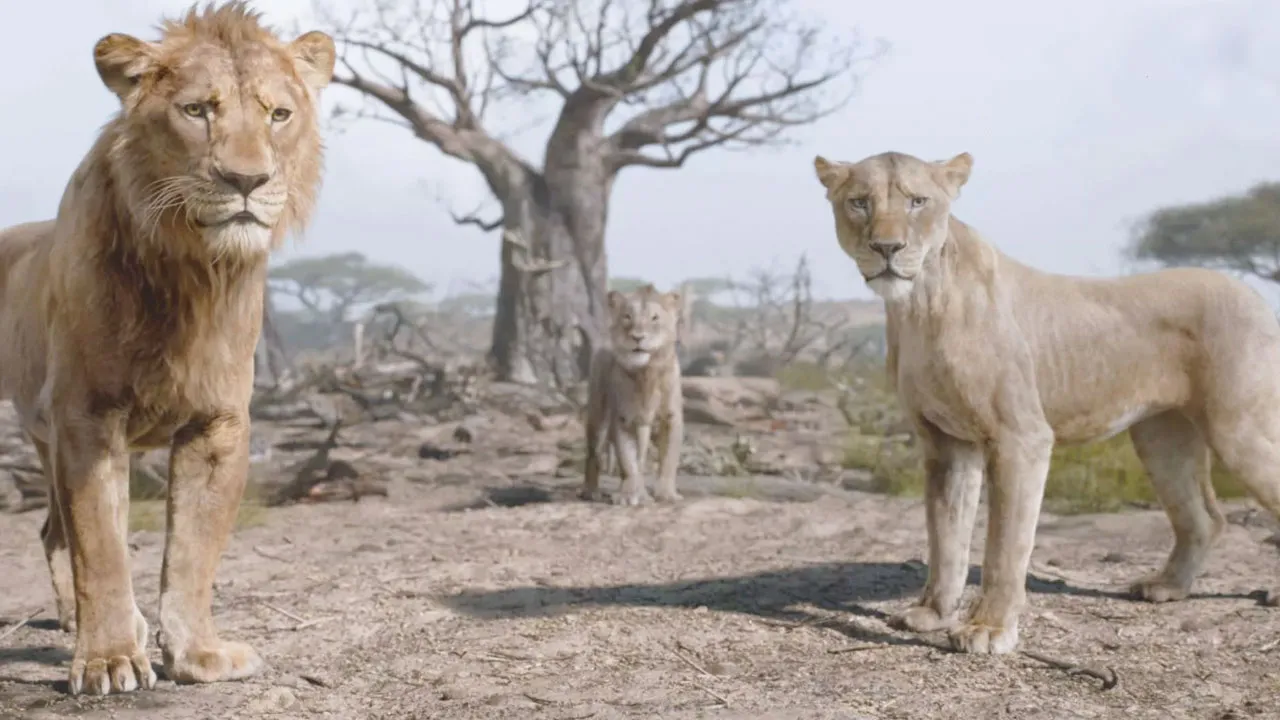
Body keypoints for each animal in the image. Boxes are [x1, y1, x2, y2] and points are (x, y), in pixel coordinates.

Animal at [0, 3, 334, 695]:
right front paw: (107, 660)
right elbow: (101, 545)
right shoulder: (88, 414)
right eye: (197, 110)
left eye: (278, 114)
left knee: (50, 530)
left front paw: (195, 653)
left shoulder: (219, 423)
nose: (246, 179)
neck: (190, 271)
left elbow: (192, 554)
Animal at [582, 285, 685, 506]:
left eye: (655, 318)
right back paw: (591, 491)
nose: (638, 337)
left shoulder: (671, 418)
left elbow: (669, 460)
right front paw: (630, 495)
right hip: (598, 415)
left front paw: (666, 494)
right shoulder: (623, 419)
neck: (646, 373)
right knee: (594, 453)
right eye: (627, 317)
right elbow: (628, 461)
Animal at [812, 150, 1280, 655]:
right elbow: (945, 537)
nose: (887, 248)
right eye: (860, 202)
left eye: (918, 201)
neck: (919, 303)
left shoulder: (1021, 437)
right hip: (1162, 437)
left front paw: (988, 629)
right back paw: (1167, 587)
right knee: (1204, 517)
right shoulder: (945, 442)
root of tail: (1254, 293)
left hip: (1239, 428)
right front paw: (932, 614)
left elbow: (1004, 546)